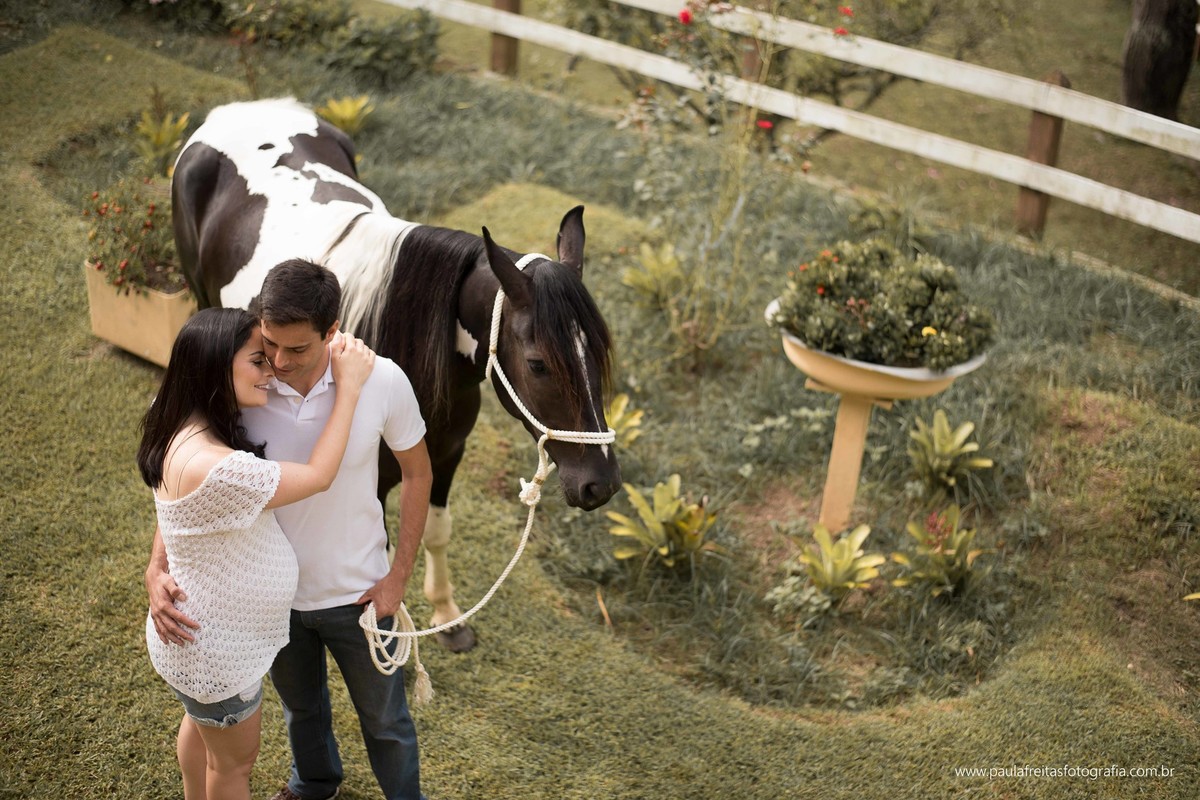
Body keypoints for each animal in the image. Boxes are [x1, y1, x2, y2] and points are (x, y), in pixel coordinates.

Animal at [170, 98, 621, 652]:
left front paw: (447, 615)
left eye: (598, 352)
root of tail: (239, 109)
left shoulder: (445, 453)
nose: (600, 484)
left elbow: (434, 530)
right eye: (538, 363)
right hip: (199, 297)